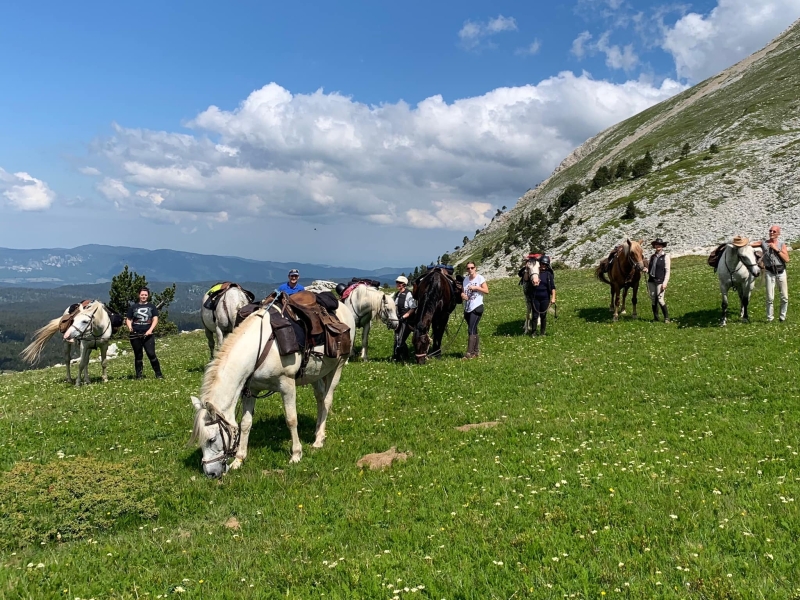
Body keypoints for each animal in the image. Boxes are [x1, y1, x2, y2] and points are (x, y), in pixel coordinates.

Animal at [189, 290, 354, 478]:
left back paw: (319, 440)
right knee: (320, 398)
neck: (260, 347)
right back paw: (317, 432)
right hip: (316, 373)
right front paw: (238, 460)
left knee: (327, 400)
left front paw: (296, 455)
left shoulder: (287, 385)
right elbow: (245, 423)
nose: (210, 474)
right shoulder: (251, 389)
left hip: (337, 367)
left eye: (212, 439)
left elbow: (291, 419)